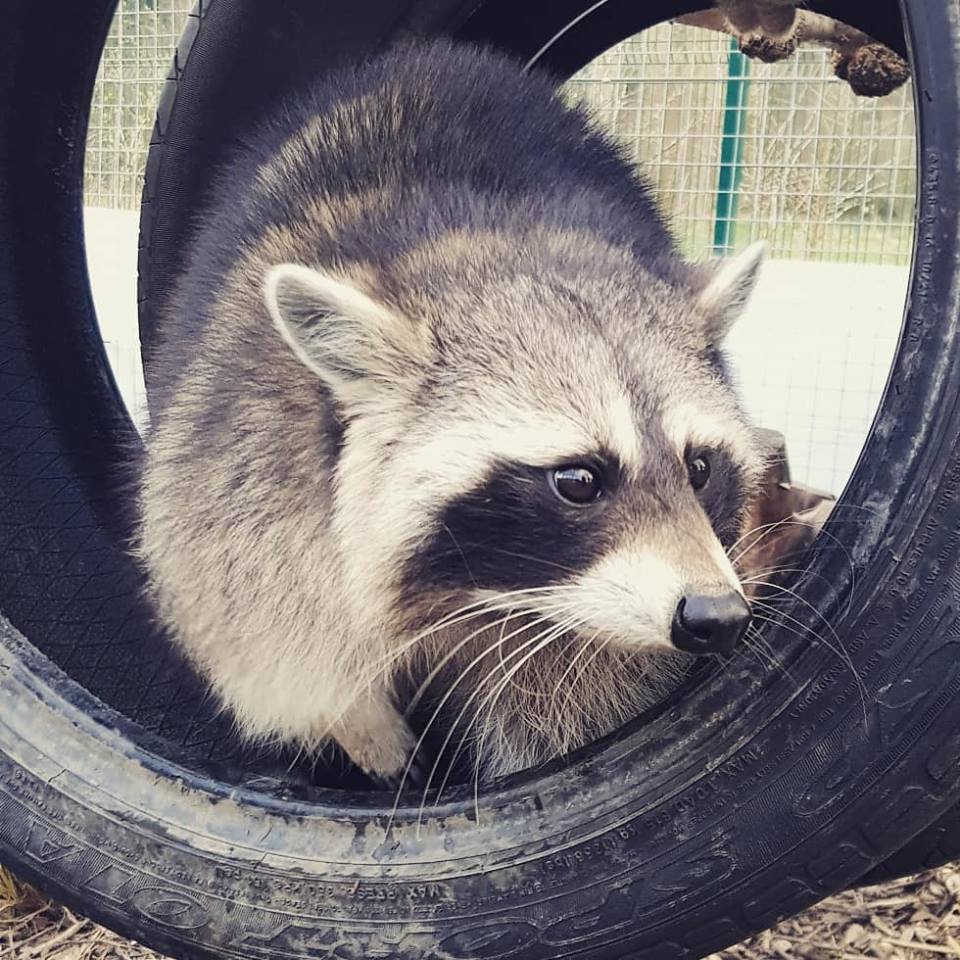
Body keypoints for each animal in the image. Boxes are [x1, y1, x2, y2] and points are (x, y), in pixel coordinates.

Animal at [138, 39, 768, 787]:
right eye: (578, 480)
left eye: (699, 468)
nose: (716, 615)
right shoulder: (241, 452)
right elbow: (271, 640)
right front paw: (366, 734)